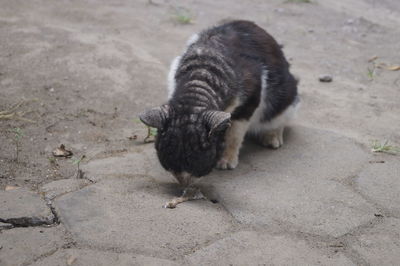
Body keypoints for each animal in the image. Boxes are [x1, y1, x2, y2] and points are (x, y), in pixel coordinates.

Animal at [139, 20, 298, 208]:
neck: (201, 78)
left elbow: (235, 134)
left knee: (278, 119)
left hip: (285, 97)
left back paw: (272, 139)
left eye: (197, 165)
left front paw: (227, 162)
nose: (184, 186)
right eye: (169, 164)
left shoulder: (250, 100)